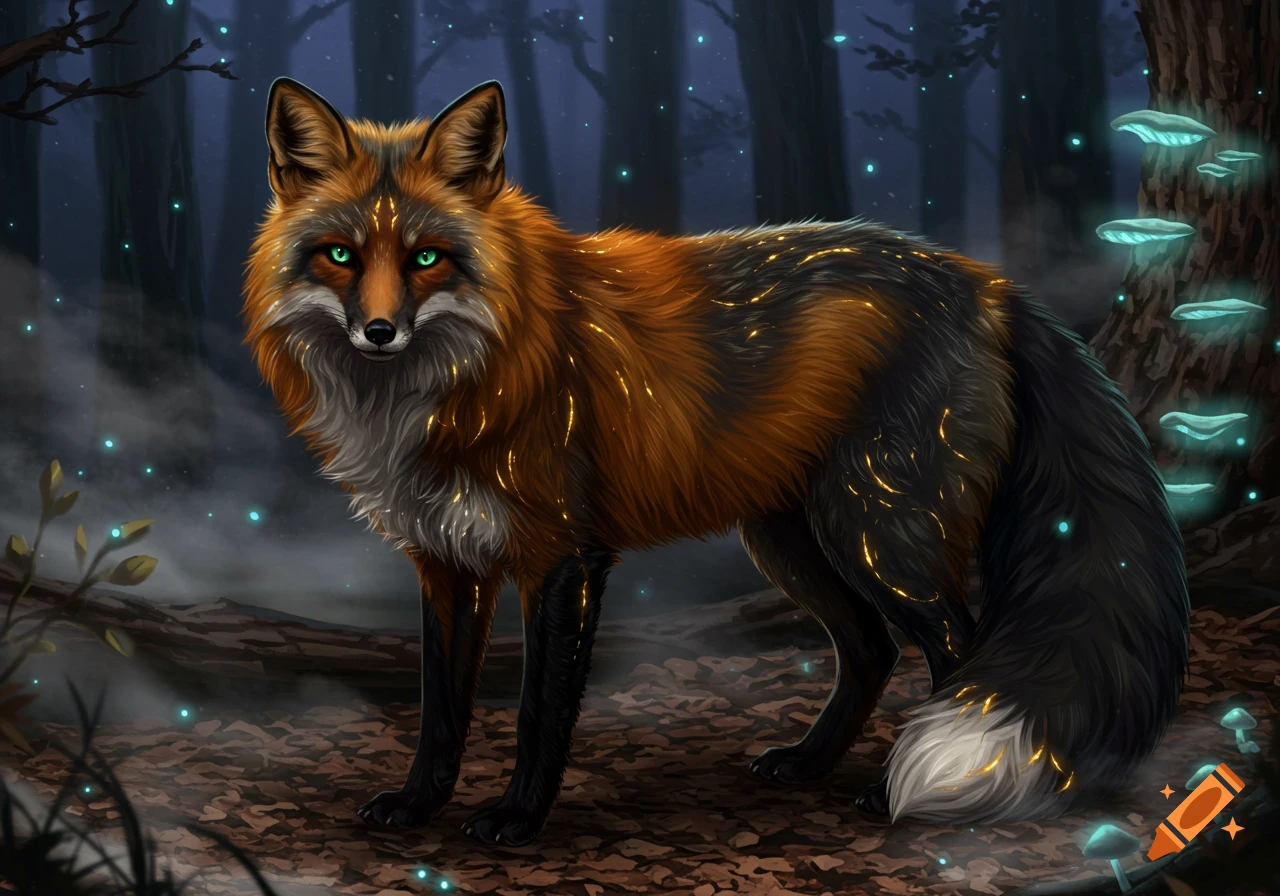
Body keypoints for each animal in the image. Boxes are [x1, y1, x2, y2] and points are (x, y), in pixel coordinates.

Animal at [243, 77, 1190, 846]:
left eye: (427, 258)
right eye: (340, 255)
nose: (378, 332)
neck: (458, 386)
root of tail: (985, 282)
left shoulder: (562, 556)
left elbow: (540, 711)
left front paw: (518, 817)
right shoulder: (448, 562)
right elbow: (441, 710)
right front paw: (419, 805)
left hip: (881, 531)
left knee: (961, 650)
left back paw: (889, 797)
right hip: (790, 540)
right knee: (870, 650)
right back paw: (809, 764)